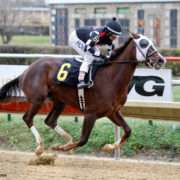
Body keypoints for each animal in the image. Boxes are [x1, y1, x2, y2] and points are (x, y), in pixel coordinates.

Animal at [0, 33, 166, 155]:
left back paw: (66, 139)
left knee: (50, 120)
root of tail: (25, 72)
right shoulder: (90, 113)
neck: (111, 77)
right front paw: (62, 148)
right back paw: (41, 146)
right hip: (38, 99)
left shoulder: (112, 111)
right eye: (144, 44)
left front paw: (108, 147)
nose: (161, 60)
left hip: (59, 101)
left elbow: (128, 130)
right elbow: (83, 140)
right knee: (28, 118)